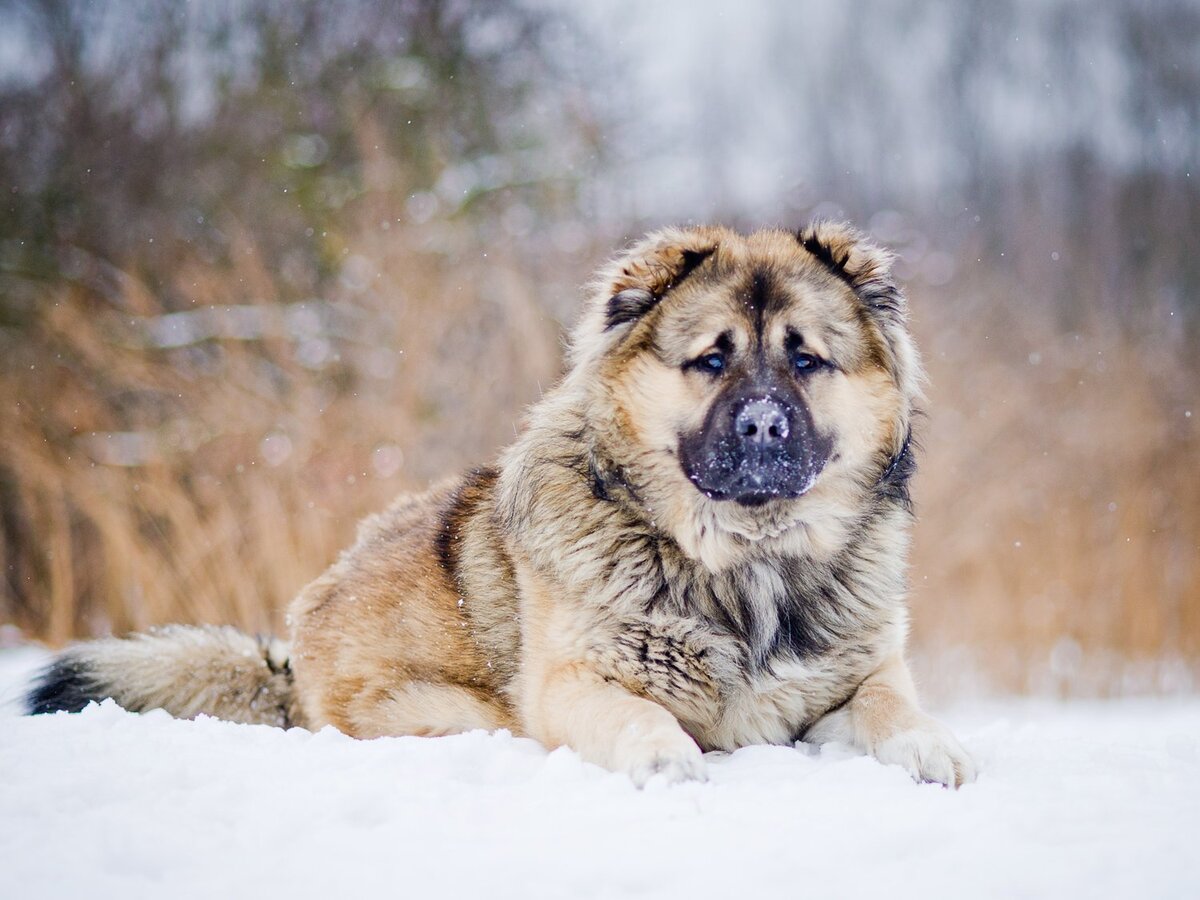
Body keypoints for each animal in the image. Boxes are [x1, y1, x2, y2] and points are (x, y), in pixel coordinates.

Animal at [25, 224, 974, 787]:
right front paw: (667, 757)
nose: (766, 424)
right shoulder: (571, 682)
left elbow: (892, 705)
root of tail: (291, 650)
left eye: (805, 360)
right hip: (445, 714)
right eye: (713, 359)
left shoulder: (860, 675)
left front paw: (932, 745)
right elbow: (635, 709)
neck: (745, 567)